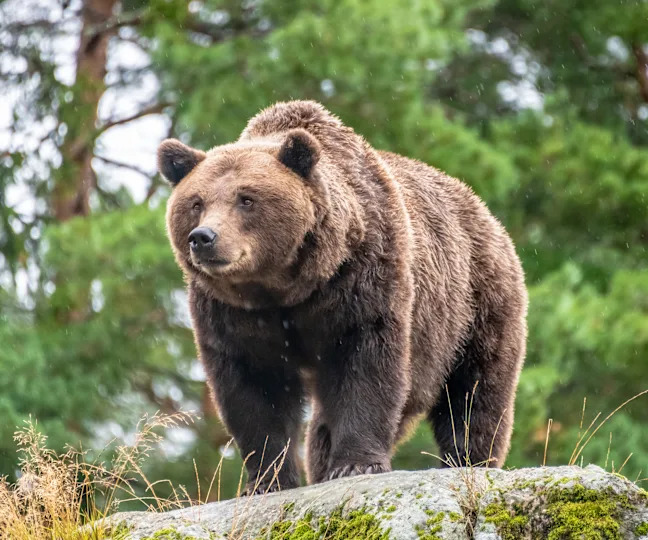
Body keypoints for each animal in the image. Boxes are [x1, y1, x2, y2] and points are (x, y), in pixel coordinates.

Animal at [158, 100, 527, 495]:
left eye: (246, 199)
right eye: (196, 203)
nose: (204, 237)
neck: (285, 287)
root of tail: (481, 208)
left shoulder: (363, 279)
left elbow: (366, 365)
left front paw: (356, 464)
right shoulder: (231, 314)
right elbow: (253, 387)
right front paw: (266, 481)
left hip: (473, 304)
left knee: (475, 390)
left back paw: (468, 460)